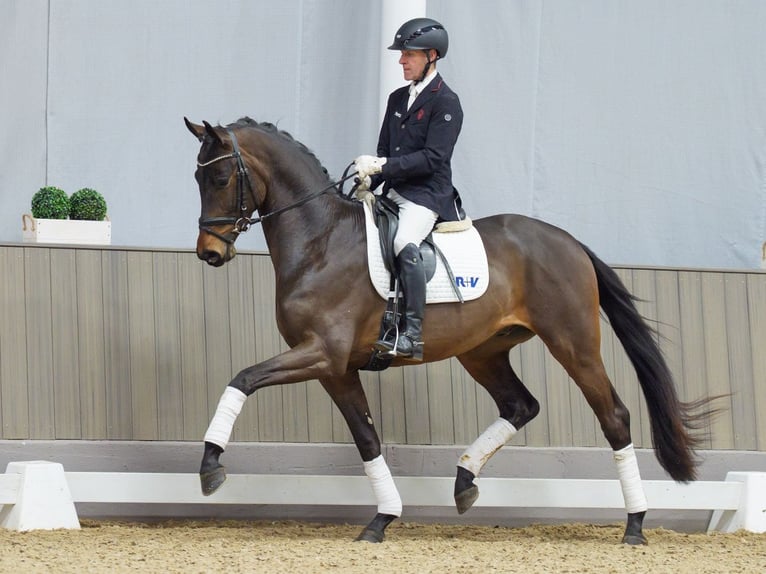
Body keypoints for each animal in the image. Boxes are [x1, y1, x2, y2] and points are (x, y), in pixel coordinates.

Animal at [183, 116, 716, 544]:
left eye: (221, 176)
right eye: (197, 176)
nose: (209, 252)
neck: (321, 242)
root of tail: (568, 241)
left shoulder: (321, 353)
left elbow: (242, 379)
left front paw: (210, 467)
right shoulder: (336, 368)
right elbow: (367, 439)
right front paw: (382, 519)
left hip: (573, 344)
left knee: (615, 417)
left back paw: (635, 525)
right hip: (482, 351)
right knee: (520, 405)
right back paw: (464, 482)